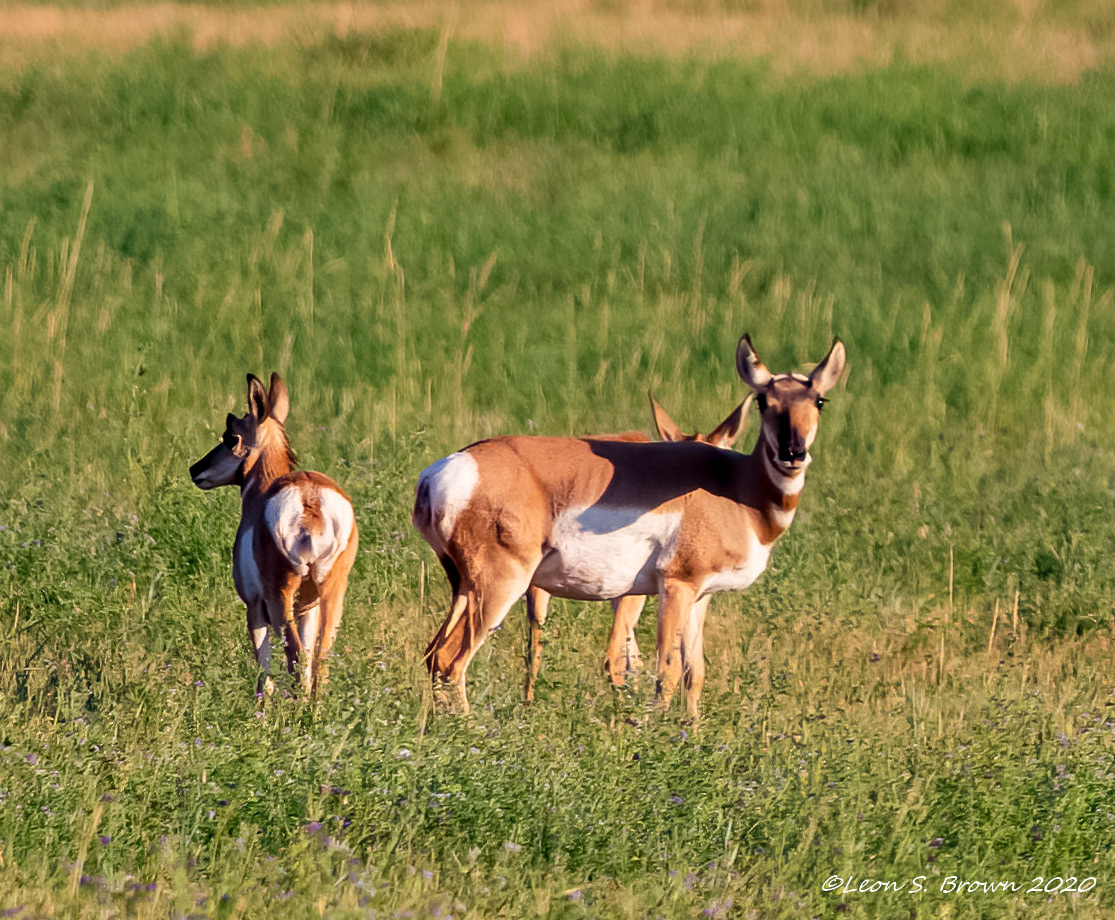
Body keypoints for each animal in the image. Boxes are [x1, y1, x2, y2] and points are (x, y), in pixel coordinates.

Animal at [190, 373, 358, 695]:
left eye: (230, 435)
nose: (195, 469)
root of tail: (309, 498)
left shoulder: (255, 609)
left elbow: (263, 674)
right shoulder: (308, 610)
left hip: (281, 601)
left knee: (296, 659)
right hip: (332, 595)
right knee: (320, 661)